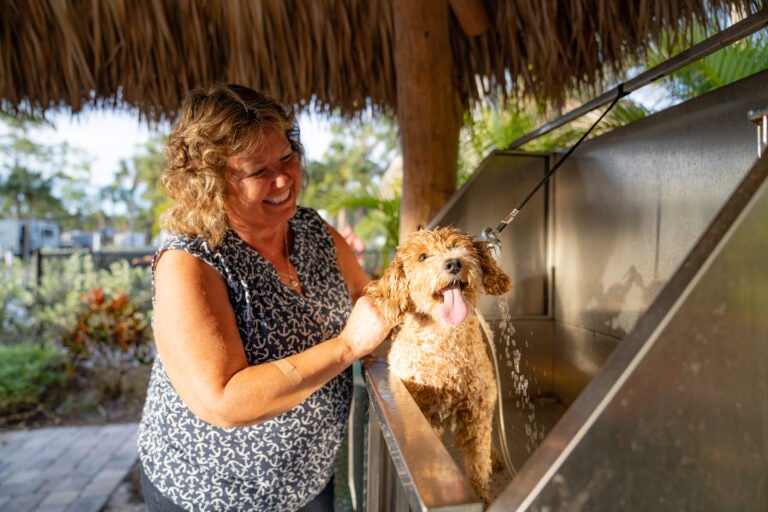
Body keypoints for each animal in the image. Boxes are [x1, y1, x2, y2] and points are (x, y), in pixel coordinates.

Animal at [364, 227, 510, 504]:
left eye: (460, 246)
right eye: (422, 257)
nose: (453, 263)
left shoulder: (476, 413)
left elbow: (478, 467)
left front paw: (483, 498)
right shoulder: (422, 412)